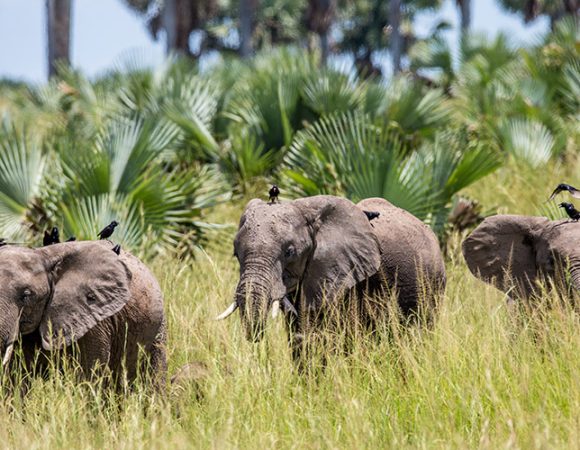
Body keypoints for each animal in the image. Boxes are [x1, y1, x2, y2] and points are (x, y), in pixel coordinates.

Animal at [0, 241, 168, 388]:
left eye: (26, 295)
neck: (42, 255)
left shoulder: (94, 319)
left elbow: (89, 375)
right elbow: (15, 380)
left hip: (158, 327)